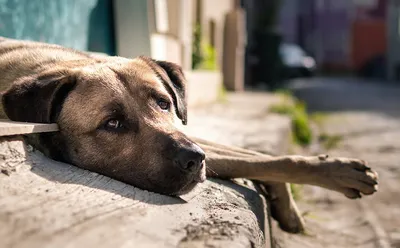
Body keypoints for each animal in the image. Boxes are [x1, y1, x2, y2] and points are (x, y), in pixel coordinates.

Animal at [0, 36, 376, 232]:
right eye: (112, 123)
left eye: (164, 103)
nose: (195, 160)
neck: (51, 66)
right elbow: (259, 160)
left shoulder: (190, 133)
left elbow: (261, 157)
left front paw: (324, 176)